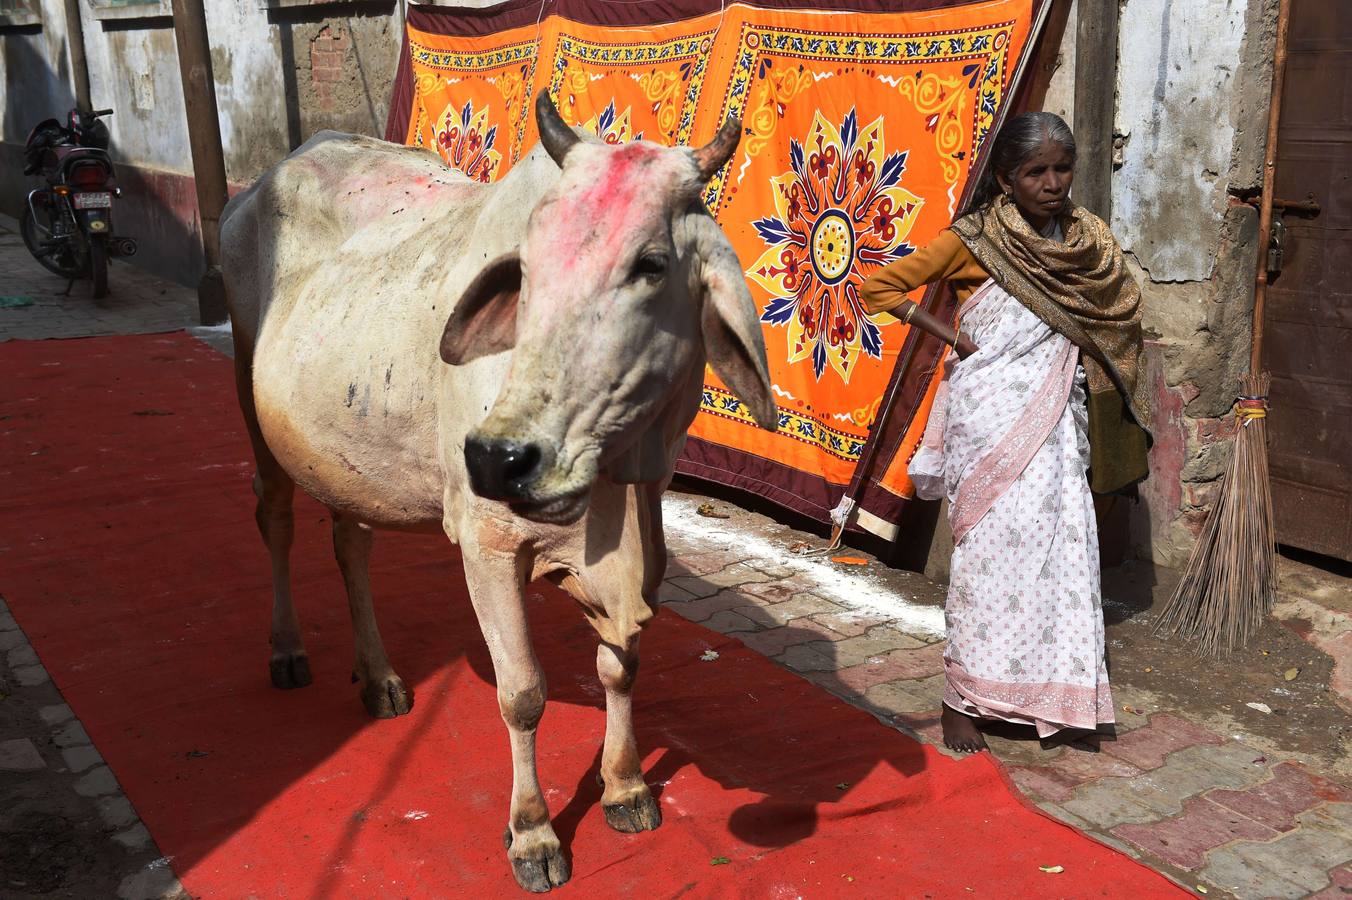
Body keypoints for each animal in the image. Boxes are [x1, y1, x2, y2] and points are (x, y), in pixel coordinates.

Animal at [219, 93, 777, 892]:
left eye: (651, 264)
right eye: (528, 271)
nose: (496, 458)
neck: (616, 477)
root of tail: (274, 170)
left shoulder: (643, 544)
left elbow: (620, 666)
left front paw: (626, 786)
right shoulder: (487, 547)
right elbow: (522, 693)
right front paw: (533, 833)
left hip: (348, 456)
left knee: (350, 544)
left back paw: (379, 675)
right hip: (250, 396)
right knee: (276, 520)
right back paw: (288, 649)